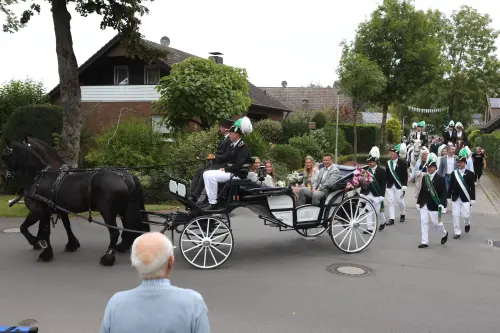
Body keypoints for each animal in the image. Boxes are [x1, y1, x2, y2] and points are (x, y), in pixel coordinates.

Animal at [1, 140, 149, 264]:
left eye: (4, 156)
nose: (4, 176)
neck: (38, 177)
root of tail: (123, 176)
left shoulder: (37, 211)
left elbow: (24, 228)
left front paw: (36, 242)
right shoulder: (47, 211)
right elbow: (48, 230)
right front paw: (48, 251)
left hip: (108, 212)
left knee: (114, 233)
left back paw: (108, 258)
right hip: (123, 210)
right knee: (127, 227)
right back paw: (125, 246)